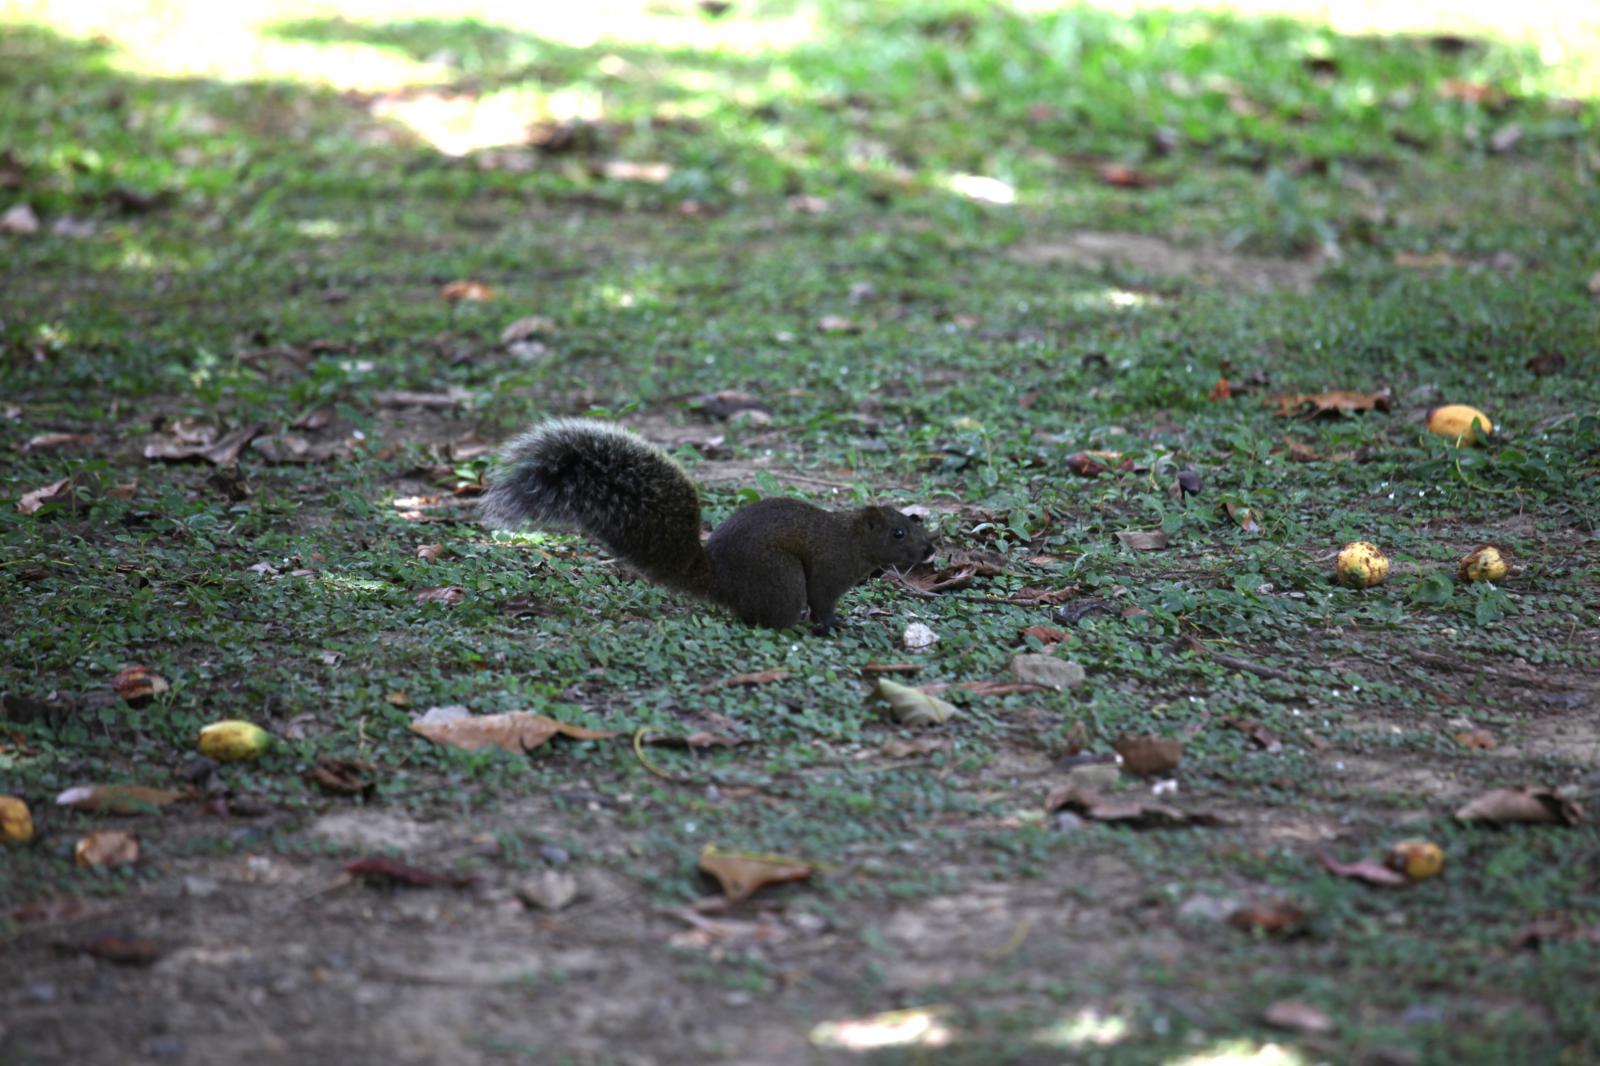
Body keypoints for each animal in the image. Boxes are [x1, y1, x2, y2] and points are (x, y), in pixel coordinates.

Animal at [480, 418, 935, 630]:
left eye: (914, 522)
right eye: (898, 533)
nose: (931, 549)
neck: (853, 540)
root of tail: (723, 583)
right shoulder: (829, 569)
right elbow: (823, 600)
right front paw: (832, 625)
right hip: (782, 578)